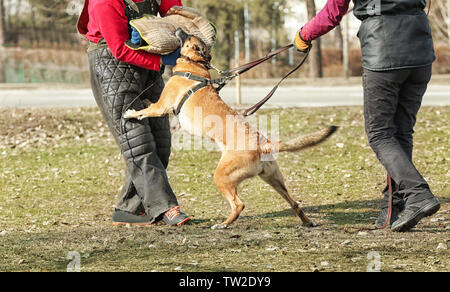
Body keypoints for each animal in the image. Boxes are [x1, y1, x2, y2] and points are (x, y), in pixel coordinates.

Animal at [125, 29, 340, 228]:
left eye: (188, 37)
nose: (178, 29)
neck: (194, 64)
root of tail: (263, 145)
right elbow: (149, 104)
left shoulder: (162, 106)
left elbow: (146, 110)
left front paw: (131, 113)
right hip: (274, 179)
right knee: (294, 203)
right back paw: (307, 222)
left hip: (222, 177)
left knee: (239, 204)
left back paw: (223, 224)